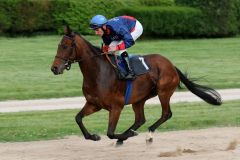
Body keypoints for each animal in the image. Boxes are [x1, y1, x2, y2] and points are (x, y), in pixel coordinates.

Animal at [50, 26, 221, 144]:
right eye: (58, 45)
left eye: (65, 46)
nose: (54, 68)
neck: (98, 72)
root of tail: (171, 65)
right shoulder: (94, 104)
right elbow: (78, 118)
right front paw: (93, 136)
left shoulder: (116, 107)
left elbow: (110, 133)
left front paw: (128, 134)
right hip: (139, 99)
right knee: (140, 119)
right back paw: (126, 136)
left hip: (163, 92)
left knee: (166, 114)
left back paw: (147, 134)